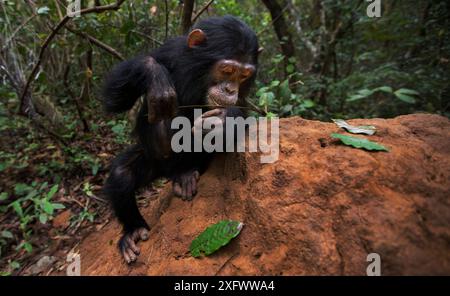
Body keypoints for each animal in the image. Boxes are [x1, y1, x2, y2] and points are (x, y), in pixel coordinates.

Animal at [100, 15, 258, 262]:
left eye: (243, 75)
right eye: (227, 69)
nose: (230, 89)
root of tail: (168, 172)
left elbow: (242, 116)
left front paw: (224, 120)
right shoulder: (171, 52)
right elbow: (114, 99)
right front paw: (155, 75)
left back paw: (186, 175)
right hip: (154, 160)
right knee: (121, 174)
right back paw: (133, 230)